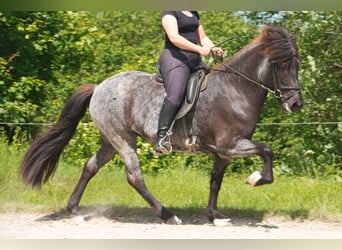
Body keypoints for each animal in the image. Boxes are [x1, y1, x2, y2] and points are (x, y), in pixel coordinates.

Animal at [20, 26, 302, 226]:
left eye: (297, 65)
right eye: (282, 65)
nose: (296, 104)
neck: (236, 89)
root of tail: (99, 87)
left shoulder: (223, 152)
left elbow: (215, 181)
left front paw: (215, 216)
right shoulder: (230, 145)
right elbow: (267, 150)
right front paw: (256, 179)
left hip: (110, 141)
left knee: (90, 166)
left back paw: (74, 210)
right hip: (123, 140)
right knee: (134, 177)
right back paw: (168, 215)